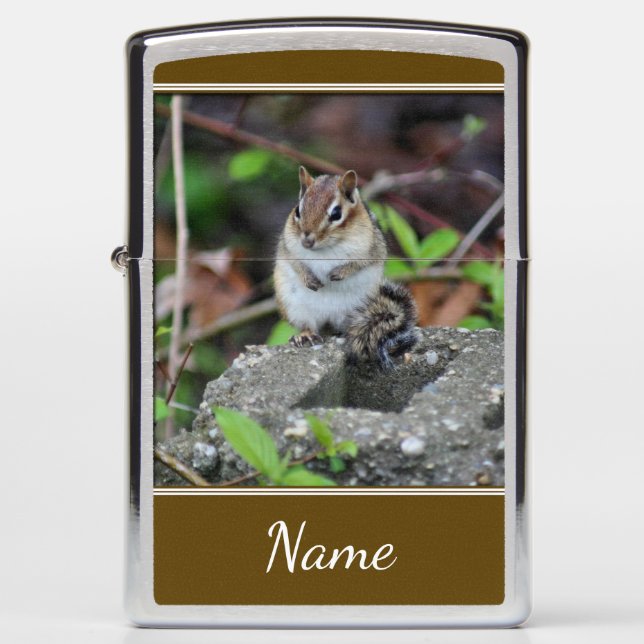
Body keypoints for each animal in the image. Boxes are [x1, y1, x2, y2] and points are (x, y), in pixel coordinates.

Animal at [273, 166, 418, 370]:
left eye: (336, 214)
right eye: (297, 211)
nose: (307, 241)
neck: (325, 248)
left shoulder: (372, 249)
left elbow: (359, 263)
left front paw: (339, 273)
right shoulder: (287, 247)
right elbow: (296, 263)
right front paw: (308, 278)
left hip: (359, 309)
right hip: (294, 307)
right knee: (308, 324)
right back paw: (306, 335)